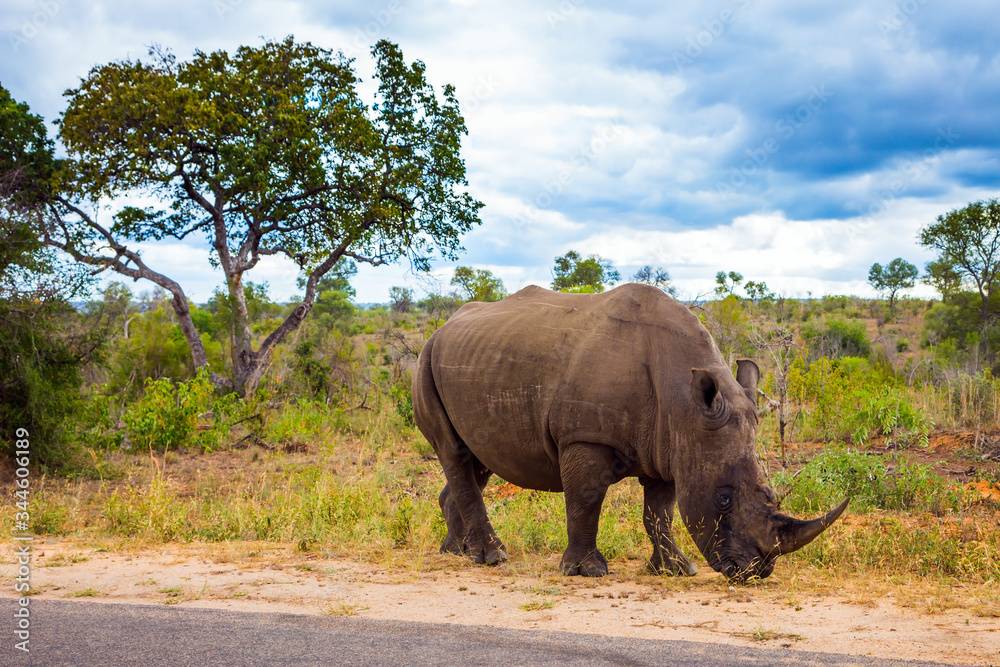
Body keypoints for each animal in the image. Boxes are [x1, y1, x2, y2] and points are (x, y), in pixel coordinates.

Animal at [412, 283, 847, 581]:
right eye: (723, 499)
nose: (756, 571)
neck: (682, 398)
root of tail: (442, 327)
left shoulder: (671, 445)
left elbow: (660, 512)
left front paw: (675, 570)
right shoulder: (585, 437)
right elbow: (586, 500)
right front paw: (587, 571)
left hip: (471, 360)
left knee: (477, 460)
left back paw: (455, 552)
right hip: (426, 360)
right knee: (454, 452)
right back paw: (491, 557)